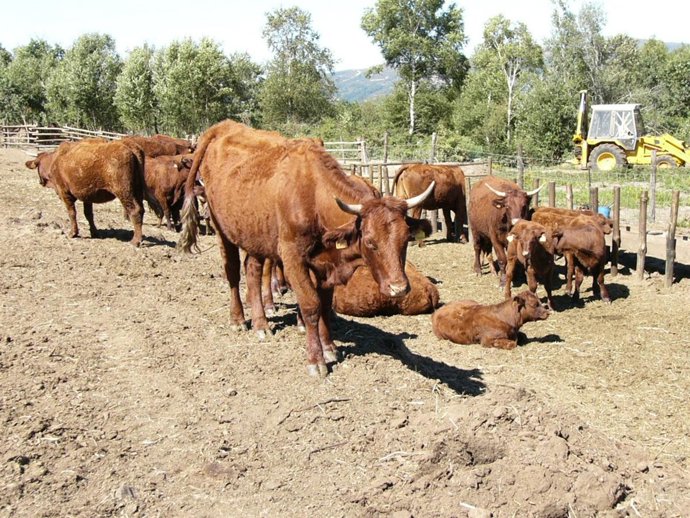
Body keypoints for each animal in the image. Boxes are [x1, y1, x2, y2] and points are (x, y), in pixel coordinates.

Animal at [178, 119, 434, 377]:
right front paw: (316, 359)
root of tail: (223, 127)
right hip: (222, 228)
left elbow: (325, 306)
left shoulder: (325, 264)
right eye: (370, 241)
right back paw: (239, 320)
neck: (313, 195)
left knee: (252, 269)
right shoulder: (293, 258)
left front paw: (329, 347)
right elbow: (311, 305)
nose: (399, 288)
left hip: (254, 233)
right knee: (232, 271)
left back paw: (261, 323)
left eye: (405, 240)